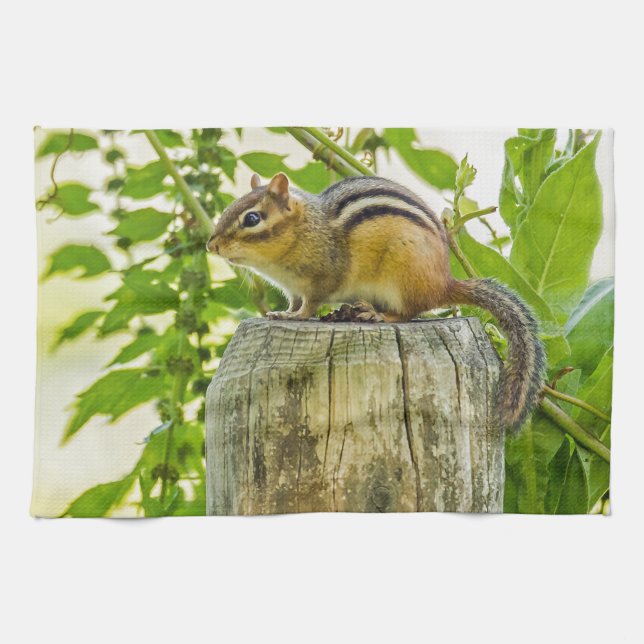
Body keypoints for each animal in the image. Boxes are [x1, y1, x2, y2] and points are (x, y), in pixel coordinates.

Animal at [206, 172, 545, 430]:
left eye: (252, 218)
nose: (211, 246)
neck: (303, 232)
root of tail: (444, 283)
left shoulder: (321, 280)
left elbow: (310, 305)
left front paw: (297, 317)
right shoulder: (292, 289)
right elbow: (293, 302)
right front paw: (281, 314)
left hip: (402, 276)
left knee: (409, 312)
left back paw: (378, 315)